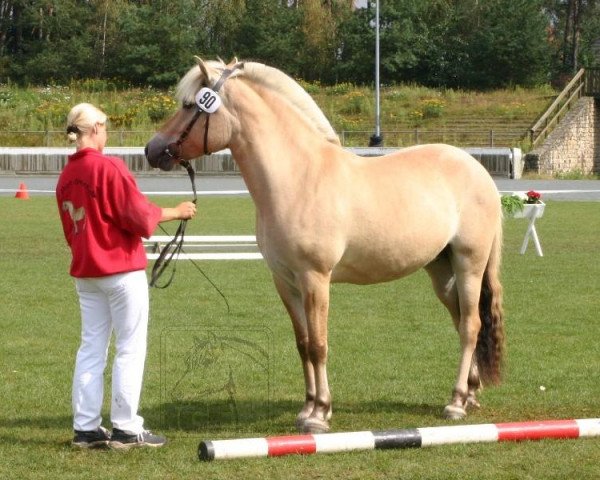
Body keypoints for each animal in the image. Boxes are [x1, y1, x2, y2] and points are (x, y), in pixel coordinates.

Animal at [145, 57, 506, 436]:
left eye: (189, 105)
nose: (151, 150)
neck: (298, 177)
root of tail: (477, 169)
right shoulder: (285, 281)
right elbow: (303, 344)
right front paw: (306, 408)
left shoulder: (315, 278)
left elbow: (319, 345)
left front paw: (320, 413)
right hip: (441, 269)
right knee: (462, 320)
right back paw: (470, 393)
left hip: (469, 263)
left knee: (471, 326)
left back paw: (456, 402)